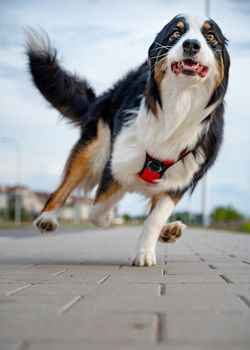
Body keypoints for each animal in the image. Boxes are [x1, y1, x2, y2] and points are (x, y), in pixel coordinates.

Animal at [25, 13, 230, 266]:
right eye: (175, 33)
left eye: (210, 37)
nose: (191, 44)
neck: (179, 103)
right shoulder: (116, 163)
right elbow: (97, 209)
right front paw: (111, 217)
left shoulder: (179, 181)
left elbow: (154, 218)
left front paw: (144, 251)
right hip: (95, 147)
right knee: (63, 188)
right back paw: (47, 217)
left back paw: (169, 230)